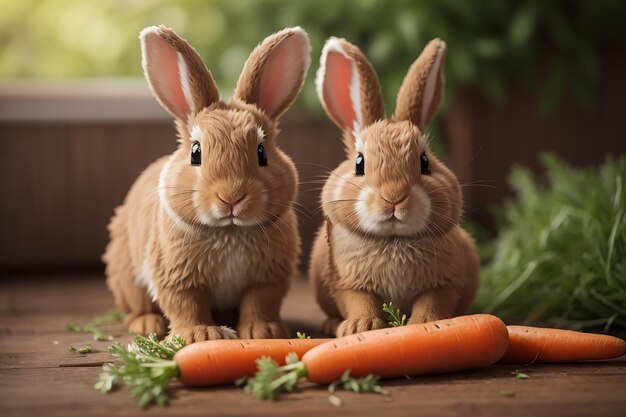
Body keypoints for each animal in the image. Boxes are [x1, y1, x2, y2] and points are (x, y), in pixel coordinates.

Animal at [103, 26, 312, 344]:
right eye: (196, 152)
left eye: (262, 152)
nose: (231, 197)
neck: (230, 230)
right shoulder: (175, 276)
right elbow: (186, 304)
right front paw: (199, 335)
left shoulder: (267, 278)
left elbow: (260, 301)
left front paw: (263, 331)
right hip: (127, 274)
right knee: (137, 305)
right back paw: (147, 324)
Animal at [310, 35, 478, 334]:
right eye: (359, 163)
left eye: (425, 162)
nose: (394, 197)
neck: (393, 240)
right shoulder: (348, 283)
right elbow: (360, 300)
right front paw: (360, 327)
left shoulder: (446, 282)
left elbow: (433, 300)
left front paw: (427, 323)